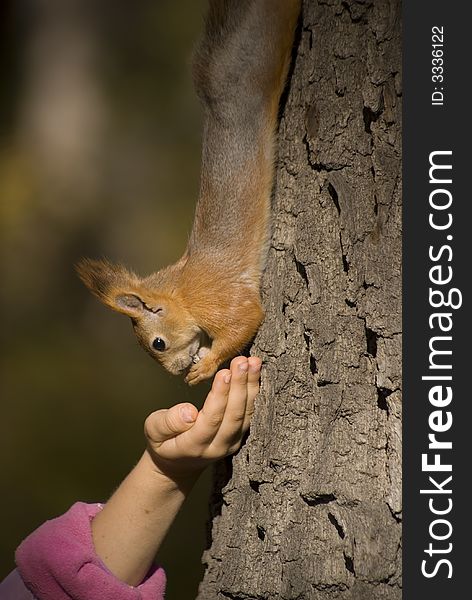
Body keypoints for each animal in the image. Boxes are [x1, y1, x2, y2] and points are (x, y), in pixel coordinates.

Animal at [77, 0, 298, 384]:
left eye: (158, 343)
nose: (177, 373)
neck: (180, 289)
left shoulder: (217, 300)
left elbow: (246, 319)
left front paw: (206, 367)